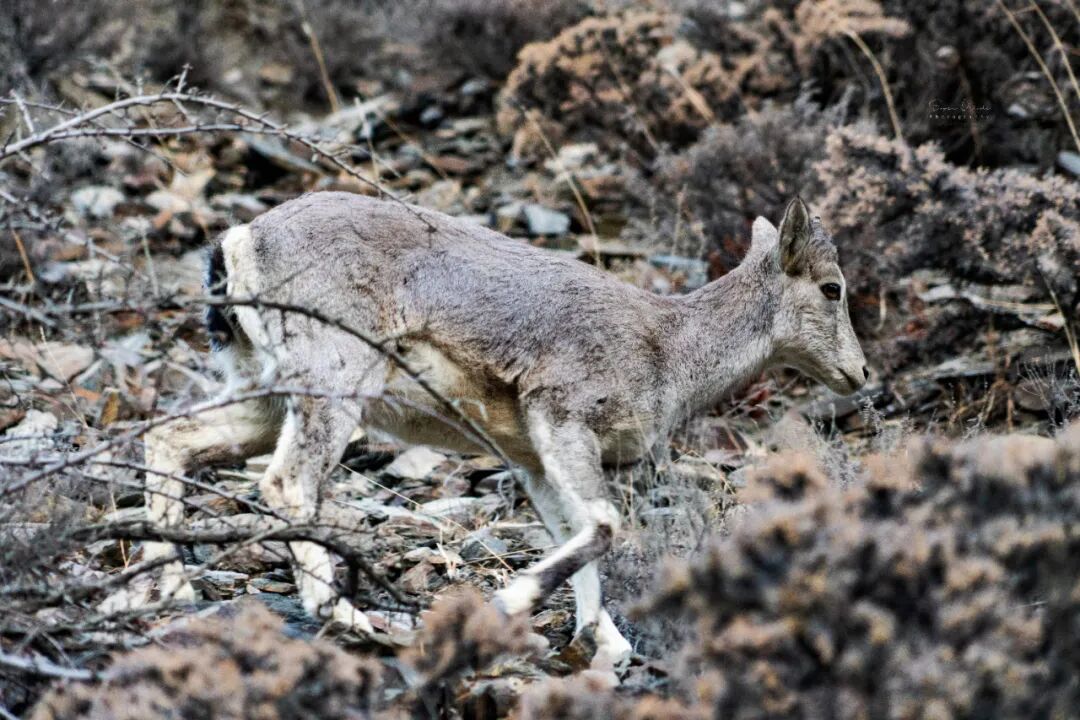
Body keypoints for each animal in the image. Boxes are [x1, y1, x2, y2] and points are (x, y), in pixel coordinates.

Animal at [133, 191, 866, 672]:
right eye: (832, 288)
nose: (858, 373)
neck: (670, 347)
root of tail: (242, 243)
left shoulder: (536, 463)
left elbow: (580, 540)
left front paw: (608, 646)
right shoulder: (562, 421)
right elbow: (602, 525)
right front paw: (511, 602)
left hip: (263, 397)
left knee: (171, 440)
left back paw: (172, 590)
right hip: (331, 389)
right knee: (287, 485)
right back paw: (346, 617)